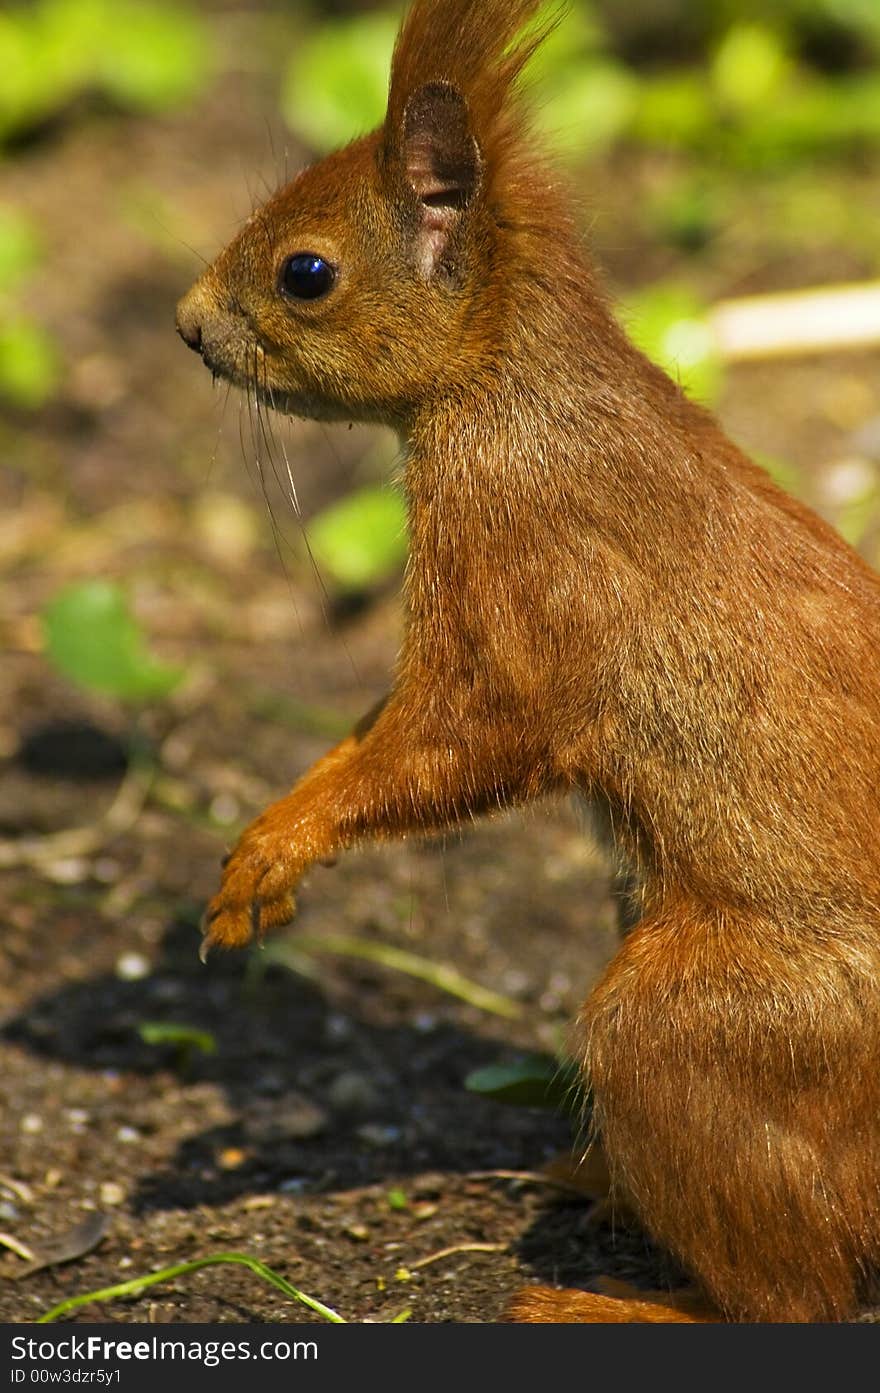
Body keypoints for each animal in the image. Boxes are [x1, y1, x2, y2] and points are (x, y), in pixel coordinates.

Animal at [175, 0, 880, 1320]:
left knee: (798, 1300)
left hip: (688, 1029)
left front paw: (281, 844)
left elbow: (456, 743)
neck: (511, 391)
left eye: (305, 273)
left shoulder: (522, 571)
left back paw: (611, 1299)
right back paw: (594, 1184)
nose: (188, 326)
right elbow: (375, 731)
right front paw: (263, 841)